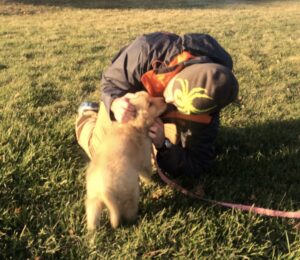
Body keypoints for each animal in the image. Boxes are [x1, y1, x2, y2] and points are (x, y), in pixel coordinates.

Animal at [85, 91, 168, 230]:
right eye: (150, 104)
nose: (164, 99)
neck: (130, 124)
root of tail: (104, 191)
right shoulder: (144, 156)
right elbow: (147, 173)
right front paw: (150, 181)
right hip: (131, 191)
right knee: (129, 210)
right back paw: (136, 219)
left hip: (93, 202)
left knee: (92, 218)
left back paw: (93, 233)